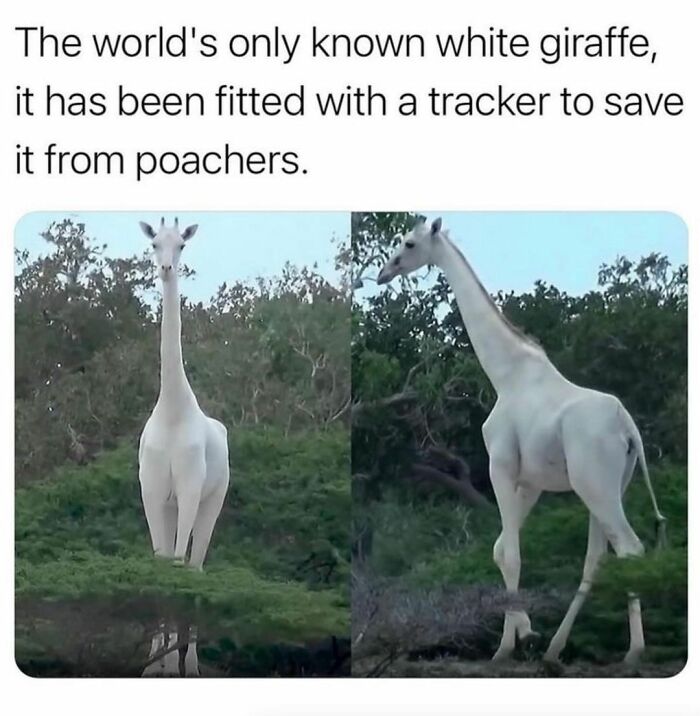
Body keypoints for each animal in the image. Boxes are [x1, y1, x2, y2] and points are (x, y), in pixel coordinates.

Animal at [138, 218, 230, 571]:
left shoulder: (191, 487)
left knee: (197, 560)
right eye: (154, 243)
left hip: (215, 496)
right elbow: (162, 556)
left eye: (182, 244)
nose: (165, 269)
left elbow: (179, 559)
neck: (172, 411)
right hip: (171, 502)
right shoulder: (151, 489)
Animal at [375, 216, 666, 665]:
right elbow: (500, 549)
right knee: (597, 558)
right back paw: (555, 649)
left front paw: (509, 645)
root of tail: (628, 428)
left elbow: (510, 554)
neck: (505, 375)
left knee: (629, 548)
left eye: (408, 243)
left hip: (594, 484)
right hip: (609, 485)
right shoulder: (530, 481)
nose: (382, 273)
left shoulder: (500, 465)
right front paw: (523, 635)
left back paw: (633, 652)